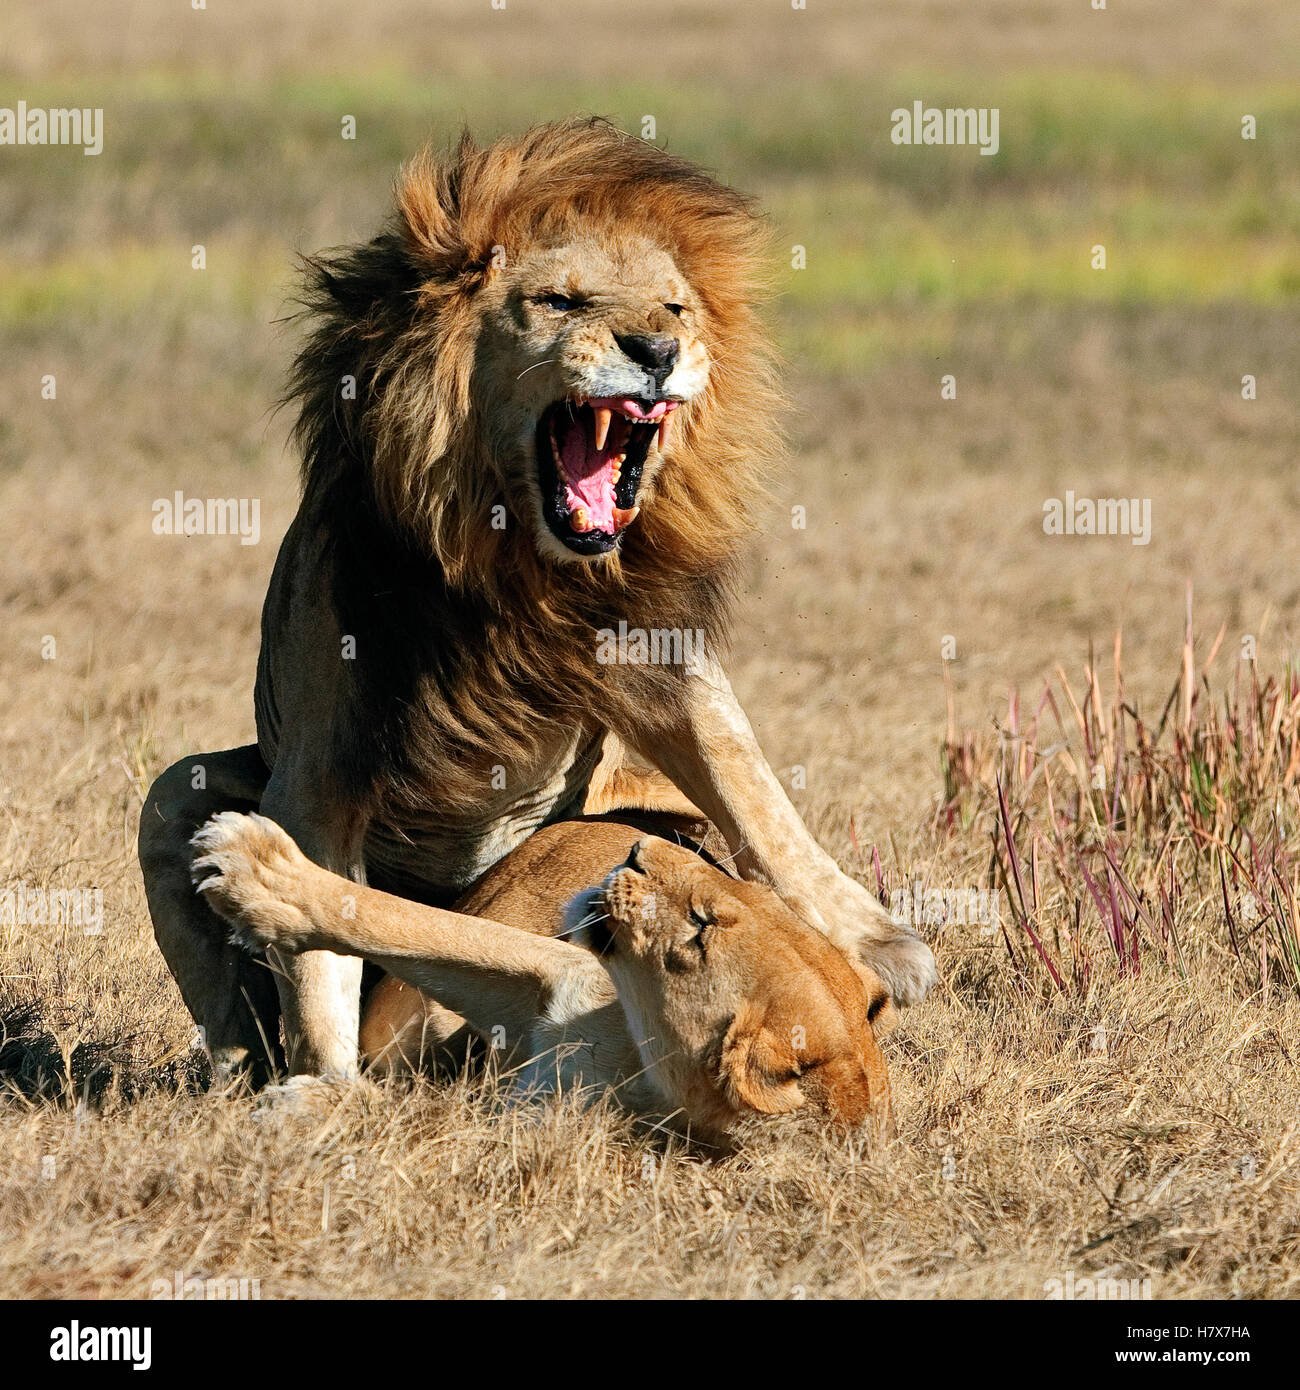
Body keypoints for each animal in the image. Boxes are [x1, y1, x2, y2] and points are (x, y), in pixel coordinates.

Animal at [138, 117, 935, 1092]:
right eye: (559, 302)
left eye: (675, 309)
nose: (657, 353)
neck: (519, 564)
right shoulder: (322, 763)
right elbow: (320, 967)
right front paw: (324, 1079)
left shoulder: (651, 651)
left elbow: (749, 781)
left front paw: (874, 939)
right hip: (178, 799)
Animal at [190, 813, 895, 1138]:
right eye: (745, 887)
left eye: (700, 926)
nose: (636, 851)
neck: (634, 1062)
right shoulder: (560, 969)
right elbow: (409, 923)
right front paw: (258, 868)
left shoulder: (532, 1121)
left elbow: (424, 1110)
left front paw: (309, 1103)